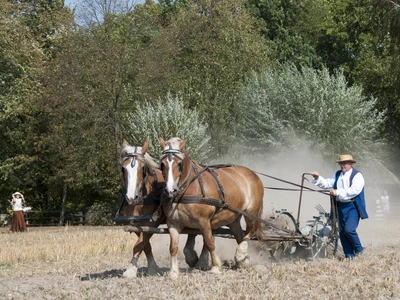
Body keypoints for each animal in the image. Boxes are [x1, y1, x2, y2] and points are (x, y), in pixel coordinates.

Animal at [121, 139, 209, 278]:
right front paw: (152, 268)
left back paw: (201, 261)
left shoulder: (152, 222)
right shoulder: (136, 224)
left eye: (142, 168)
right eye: (123, 168)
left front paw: (131, 269)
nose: (130, 197)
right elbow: (145, 245)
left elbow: (139, 245)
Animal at [159, 137, 266, 278]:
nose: (170, 191)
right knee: (239, 235)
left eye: (179, 163)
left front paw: (215, 267)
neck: (189, 188)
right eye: (162, 164)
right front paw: (173, 272)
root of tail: (252, 174)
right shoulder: (173, 223)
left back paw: (241, 253)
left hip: (251, 212)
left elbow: (210, 242)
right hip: (233, 218)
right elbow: (173, 247)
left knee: (251, 230)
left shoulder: (203, 221)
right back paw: (243, 260)